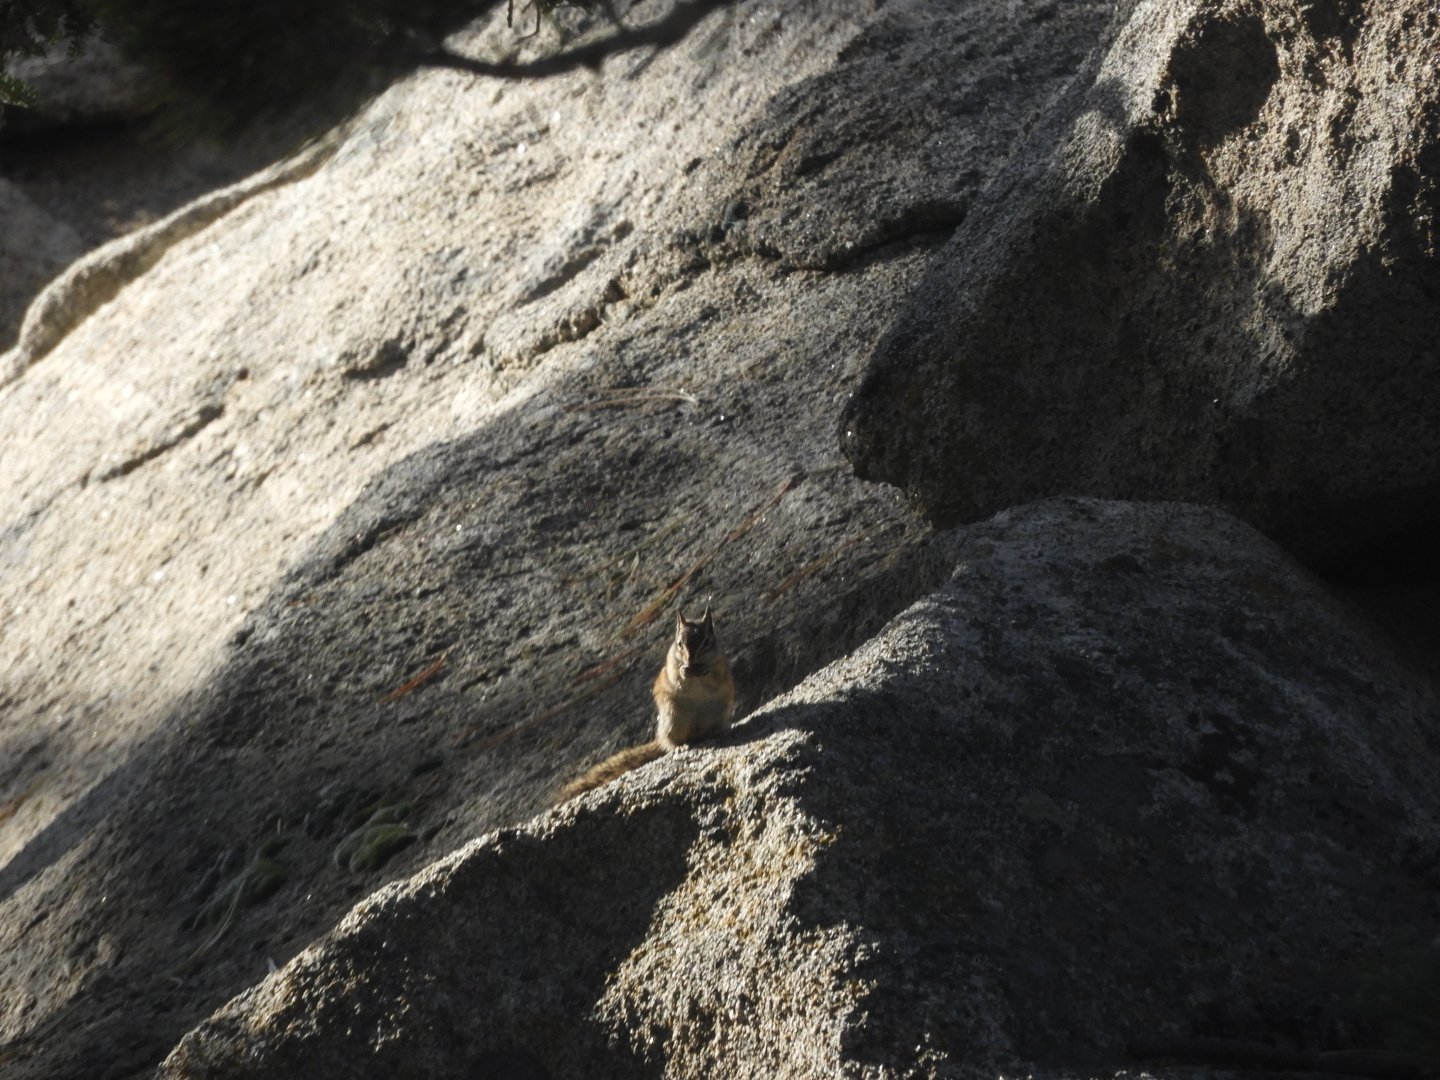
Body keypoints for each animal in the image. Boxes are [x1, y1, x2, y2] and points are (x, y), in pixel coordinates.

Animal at [558, 605, 736, 801]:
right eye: (679, 643)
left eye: (706, 642)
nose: (690, 660)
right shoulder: (671, 665)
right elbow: (677, 675)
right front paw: (684, 670)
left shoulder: (720, 666)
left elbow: (713, 674)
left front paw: (703, 669)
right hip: (674, 717)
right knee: (671, 742)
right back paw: (680, 747)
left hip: (718, 712)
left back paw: (717, 731)